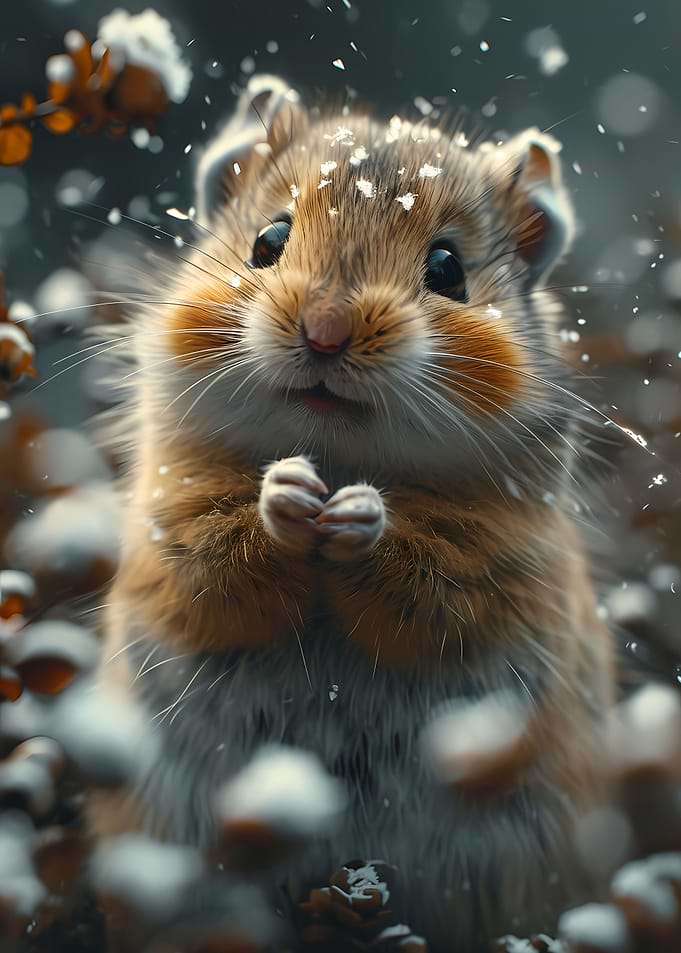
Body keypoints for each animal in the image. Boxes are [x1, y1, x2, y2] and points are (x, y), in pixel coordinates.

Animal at [91, 75, 614, 951]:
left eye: (449, 268)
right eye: (267, 240)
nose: (325, 332)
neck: (335, 453)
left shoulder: (499, 572)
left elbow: (434, 588)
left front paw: (358, 521)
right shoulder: (169, 534)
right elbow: (213, 570)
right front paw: (286, 499)